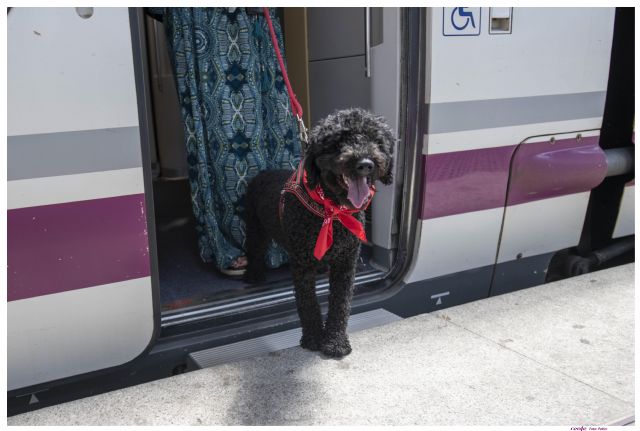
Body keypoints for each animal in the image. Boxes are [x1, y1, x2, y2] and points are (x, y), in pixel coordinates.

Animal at [245, 109, 396, 358]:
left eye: (376, 140)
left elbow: (341, 304)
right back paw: (253, 275)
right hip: (254, 226)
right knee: (254, 250)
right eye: (337, 142)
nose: (365, 164)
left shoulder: (346, 262)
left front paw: (335, 341)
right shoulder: (301, 264)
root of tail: (263, 173)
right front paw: (314, 338)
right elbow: (308, 303)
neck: (331, 211)